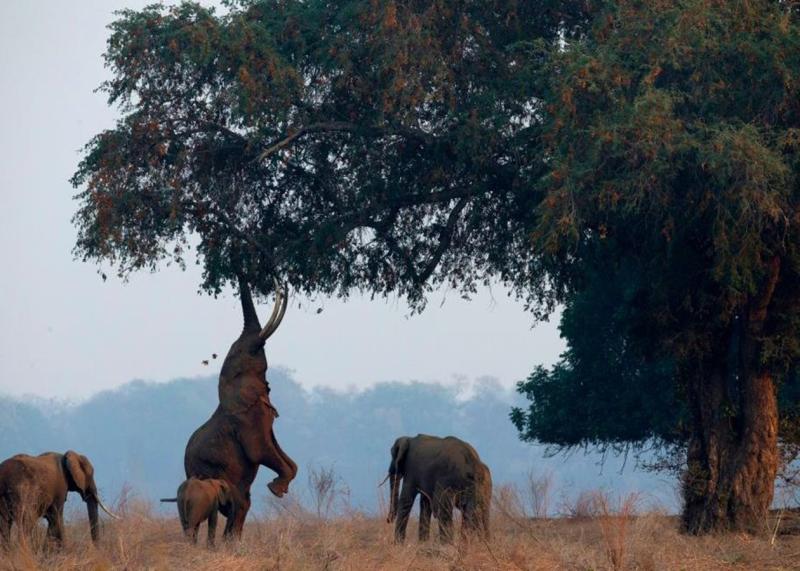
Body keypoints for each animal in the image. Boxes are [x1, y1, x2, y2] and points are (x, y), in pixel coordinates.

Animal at [184, 278, 296, 540]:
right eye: (250, 350)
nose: (282, 283)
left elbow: (278, 450)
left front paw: (278, 486)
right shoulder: (246, 419)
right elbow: (259, 450)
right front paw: (276, 489)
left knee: (242, 506)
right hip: (216, 474)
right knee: (239, 505)